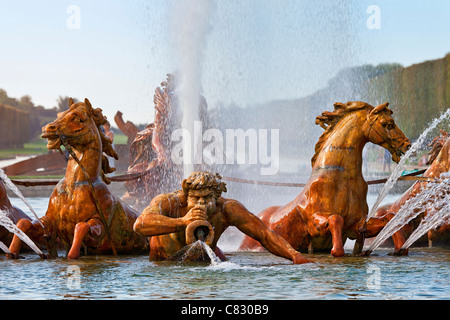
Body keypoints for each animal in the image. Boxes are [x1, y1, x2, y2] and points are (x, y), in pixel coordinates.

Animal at [7, 99, 148, 258]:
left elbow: (81, 227)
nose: (47, 128)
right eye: (60, 114)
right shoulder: (49, 221)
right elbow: (23, 223)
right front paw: (12, 252)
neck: (75, 184)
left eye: (77, 118)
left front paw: (72, 256)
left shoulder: (99, 225)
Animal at [239, 101, 412, 256]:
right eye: (387, 124)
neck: (344, 179)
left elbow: (389, 217)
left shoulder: (357, 224)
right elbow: (336, 219)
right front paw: (336, 251)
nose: (407, 145)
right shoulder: (314, 223)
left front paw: (399, 248)